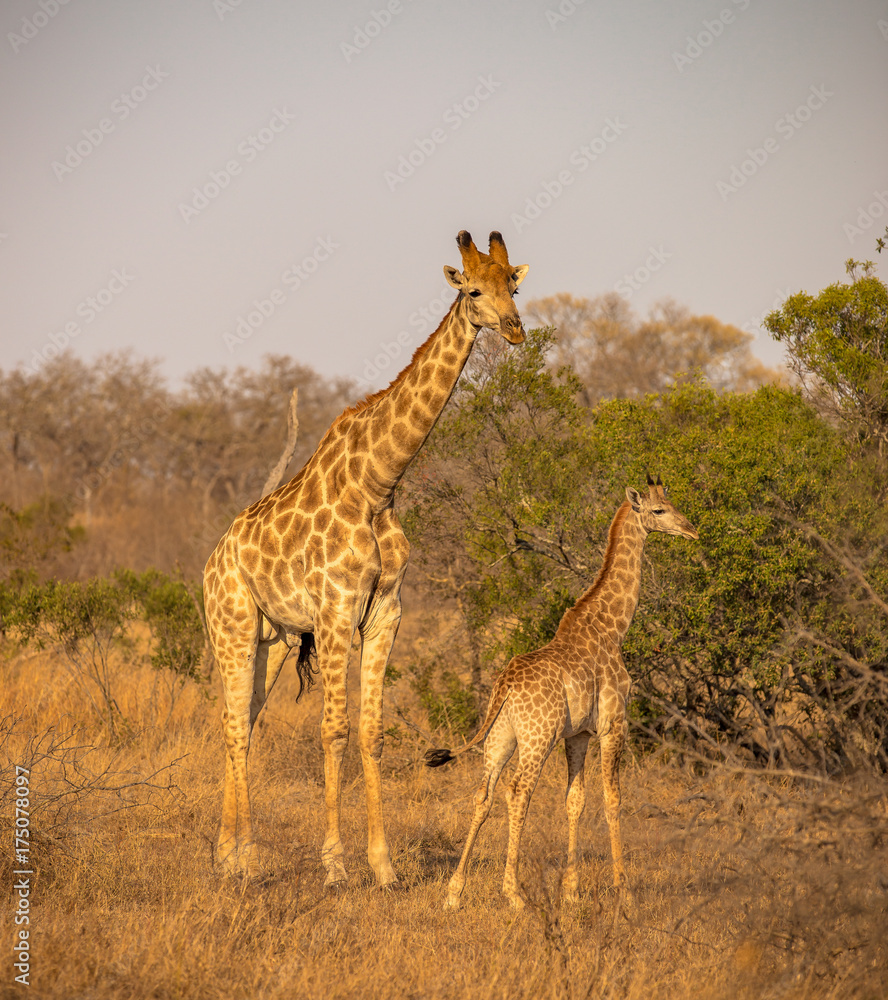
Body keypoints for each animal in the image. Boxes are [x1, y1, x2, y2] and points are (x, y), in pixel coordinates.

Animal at [203, 230, 529, 888]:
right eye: (474, 291)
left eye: (515, 284)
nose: (515, 329)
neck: (378, 485)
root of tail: (208, 562)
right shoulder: (334, 612)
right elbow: (333, 731)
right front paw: (334, 865)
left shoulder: (384, 614)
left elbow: (372, 733)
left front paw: (383, 866)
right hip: (231, 629)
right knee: (232, 726)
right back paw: (244, 857)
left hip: (271, 644)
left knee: (241, 725)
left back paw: (229, 856)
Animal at [425, 476, 698, 909]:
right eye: (659, 510)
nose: (692, 530)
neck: (613, 627)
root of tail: (506, 685)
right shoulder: (613, 724)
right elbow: (612, 799)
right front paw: (623, 890)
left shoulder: (579, 734)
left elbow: (575, 801)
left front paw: (571, 891)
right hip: (538, 738)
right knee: (518, 792)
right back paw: (514, 894)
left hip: (501, 737)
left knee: (484, 794)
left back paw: (455, 892)